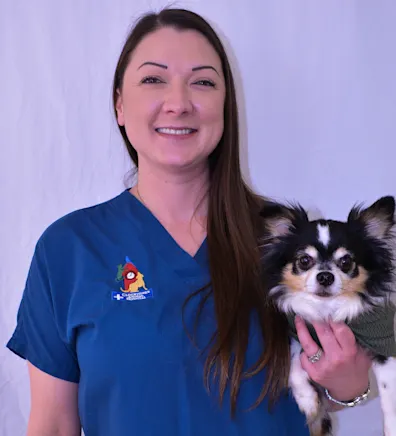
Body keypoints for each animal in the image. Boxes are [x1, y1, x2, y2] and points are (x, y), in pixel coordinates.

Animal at [260, 197, 396, 436]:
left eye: (346, 262)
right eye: (304, 260)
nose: (325, 276)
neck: (328, 309)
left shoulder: (384, 345)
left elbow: (390, 397)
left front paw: (392, 428)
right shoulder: (298, 332)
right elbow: (294, 362)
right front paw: (307, 400)